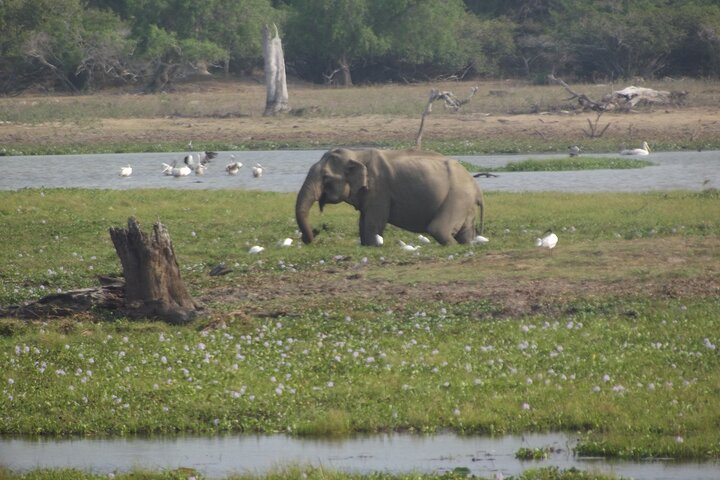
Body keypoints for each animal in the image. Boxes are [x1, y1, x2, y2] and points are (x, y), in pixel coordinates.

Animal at [295, 147, 484, 246]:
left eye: (326, 178)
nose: (315, 231)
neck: (357, 154)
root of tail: (476, 187)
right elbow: (363, 221)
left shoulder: (380, 190)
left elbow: (373, 222)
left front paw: (372, 246)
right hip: (464, 204)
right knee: (464, 232)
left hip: (457, 197)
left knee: (438, 229)